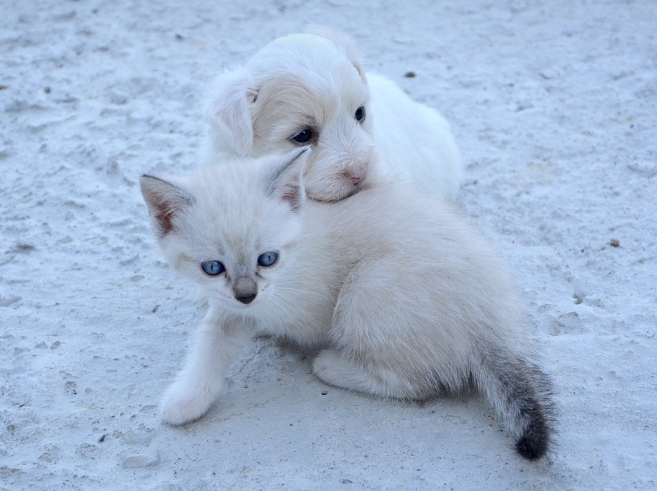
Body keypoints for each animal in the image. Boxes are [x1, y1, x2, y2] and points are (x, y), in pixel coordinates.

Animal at [140, 150, 552, 462]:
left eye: (267, 258)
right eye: (212, 267)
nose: (246, 295)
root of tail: (492, 318)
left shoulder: (297, 303)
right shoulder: (232, 307)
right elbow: (210, 342)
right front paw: (187, 398)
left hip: (366, 290)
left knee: (421, 384)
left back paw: (333, 366)